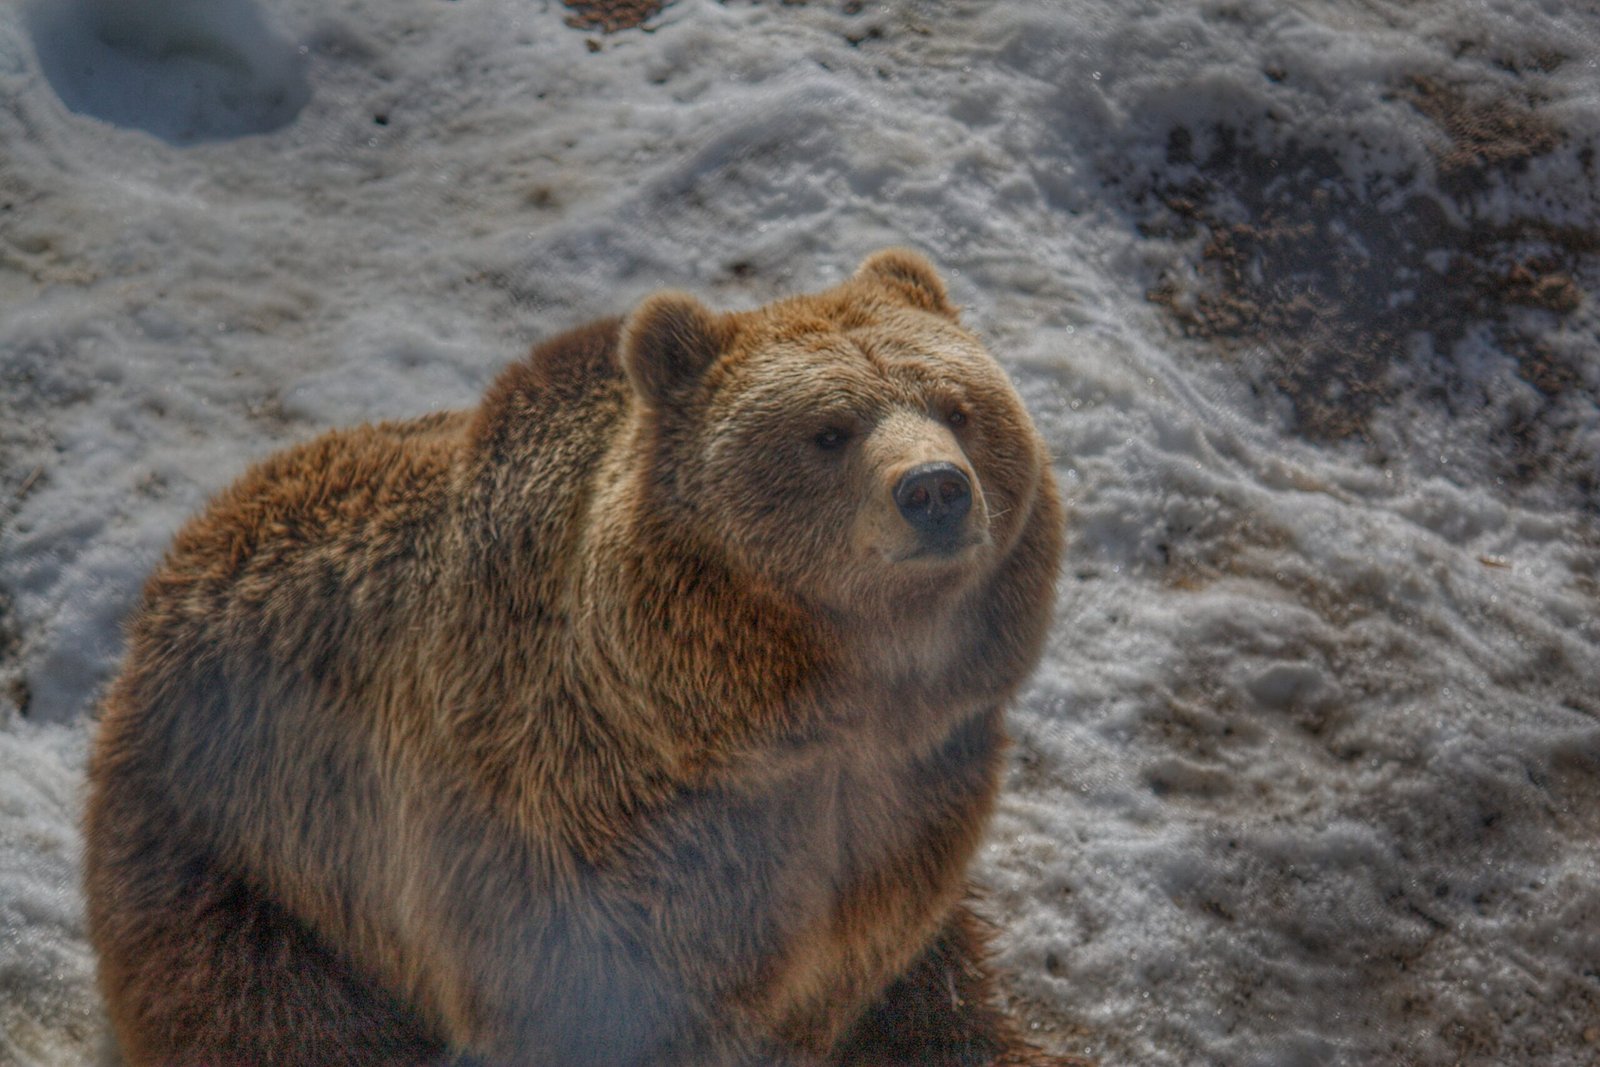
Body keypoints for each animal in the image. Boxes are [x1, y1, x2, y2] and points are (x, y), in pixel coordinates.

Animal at [84, 249, 1074, 1066]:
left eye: (959, 407)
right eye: (829, 430)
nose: (936, 490)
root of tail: (176, 565)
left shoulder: (902, 825)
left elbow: (923, 995)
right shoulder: (582, 841)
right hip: (250, 859)